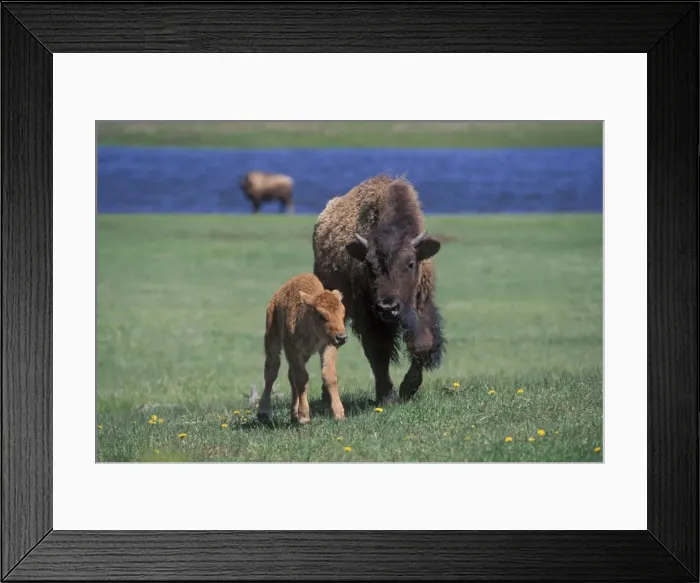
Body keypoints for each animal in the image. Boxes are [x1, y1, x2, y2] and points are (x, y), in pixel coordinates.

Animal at [258, 273, 348, 425]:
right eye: (321, 315)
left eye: (343, 313)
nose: (341, 337)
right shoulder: (293, 350)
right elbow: (302, 378)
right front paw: (304, 417)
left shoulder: (328, 346)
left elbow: (329, 376)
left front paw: (339, 414)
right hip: (272, 339)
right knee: (271, 372)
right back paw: (263, 412)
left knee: (290, 375)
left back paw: (293, 414)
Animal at [312, 174, 446, 405]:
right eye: (368, 265)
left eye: (411, 263)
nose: (388, 308)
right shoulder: (369, 318)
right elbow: (378, 353)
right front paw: (387, 396)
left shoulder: (422, 307)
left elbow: (422, 345)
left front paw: (407, 389)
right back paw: (326, 396)